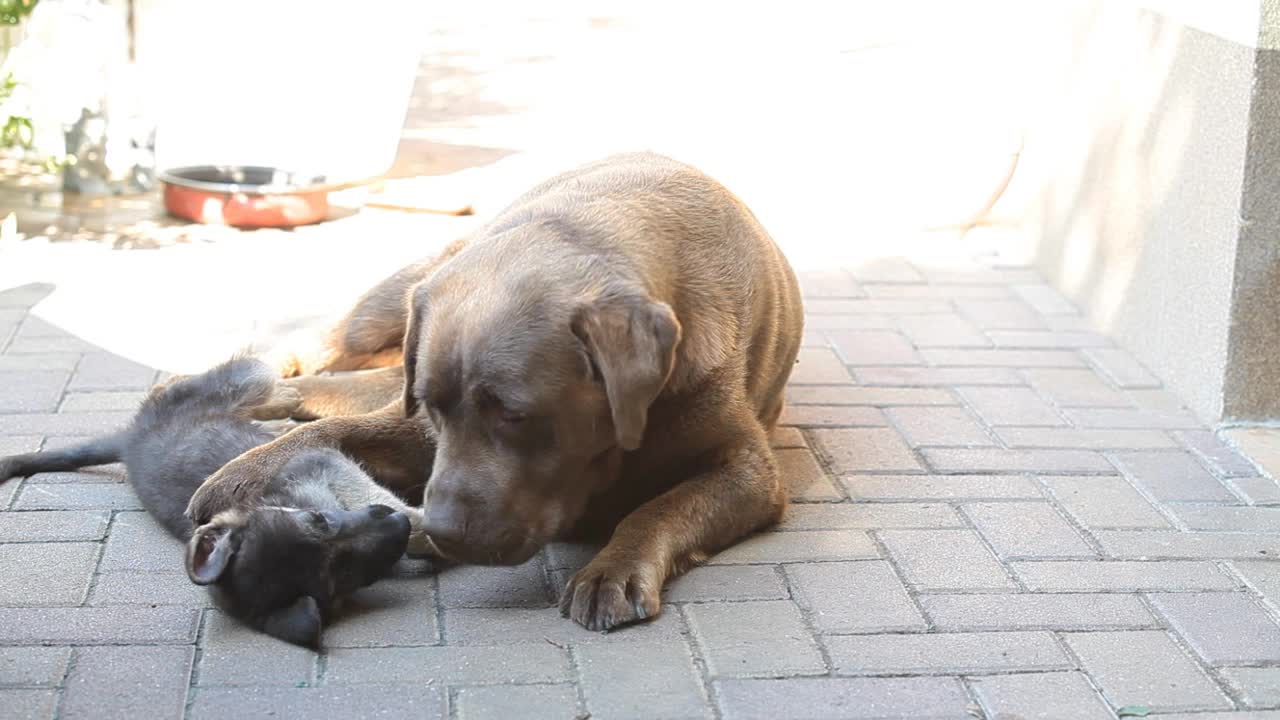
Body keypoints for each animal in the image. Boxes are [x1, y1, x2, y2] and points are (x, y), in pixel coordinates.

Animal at [0, 356, 427, 640]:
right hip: (229, 385)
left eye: (317, 520)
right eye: (342, 577)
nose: (396, 524)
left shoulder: (321, 463)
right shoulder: (321, 464)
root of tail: (128, 440)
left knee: (191, 377)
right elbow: (374, 492)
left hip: (222, 387)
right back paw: (284, 400)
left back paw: (283, 400)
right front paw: (421, 523)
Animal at [185, 152, 803, 627]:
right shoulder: (420, 421)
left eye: (515, 415)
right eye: (435, 408)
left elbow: (661, 508)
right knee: (326, 345)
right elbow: (344, 429)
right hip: (395, 299)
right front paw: (241, 474)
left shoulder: (748, 470)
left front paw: (615, 568)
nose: (438, 529)